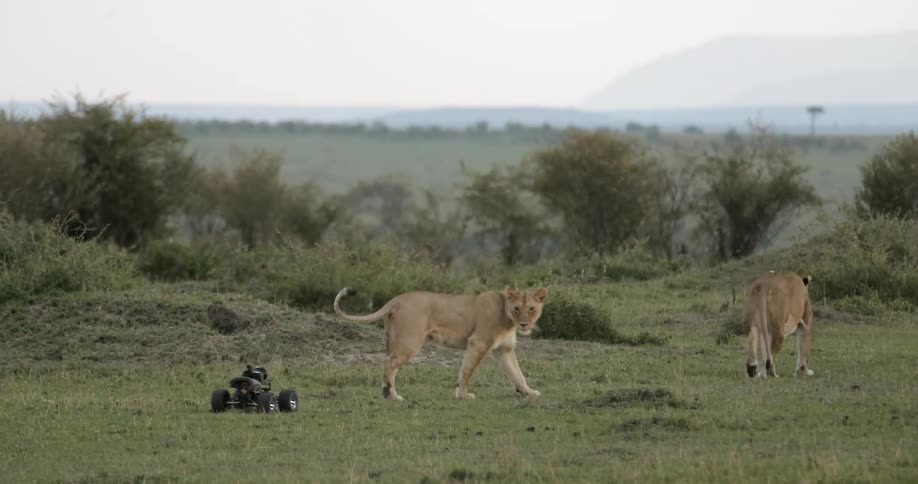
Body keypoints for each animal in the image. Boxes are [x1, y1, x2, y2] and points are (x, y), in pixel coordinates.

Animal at [333, 286, 547, 400]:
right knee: (389, 363)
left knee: (387, 361)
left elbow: (517, 374)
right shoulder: (477, 342)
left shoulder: (504, 349)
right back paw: (392, 395)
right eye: (517, 308)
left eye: (531, 309)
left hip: (392, 340)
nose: (524, 324)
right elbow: (467, 371)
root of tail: (397, 299)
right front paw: (463, 395)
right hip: (410, 341)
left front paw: (529, 392)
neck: (507, 316)